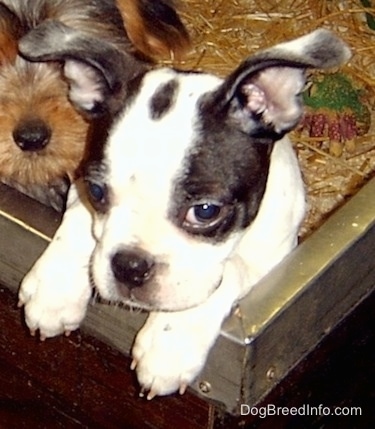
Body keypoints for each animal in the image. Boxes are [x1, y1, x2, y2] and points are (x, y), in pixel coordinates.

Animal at [19, 27, 352, 398]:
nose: (130, 266)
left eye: (205, 211)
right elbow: (79, 222)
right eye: (97, 192)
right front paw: (55, 286)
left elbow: (230, 269)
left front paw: (171, 340)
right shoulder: (78, 183)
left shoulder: (272, 259)